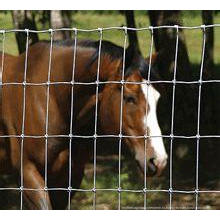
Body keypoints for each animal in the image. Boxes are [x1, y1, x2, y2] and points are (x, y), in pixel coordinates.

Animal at [0, 39, 168, 210]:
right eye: (130, 98)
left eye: (157, 98)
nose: (158, 161)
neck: (50, 98)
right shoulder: (27, 173)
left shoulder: (69, 177)